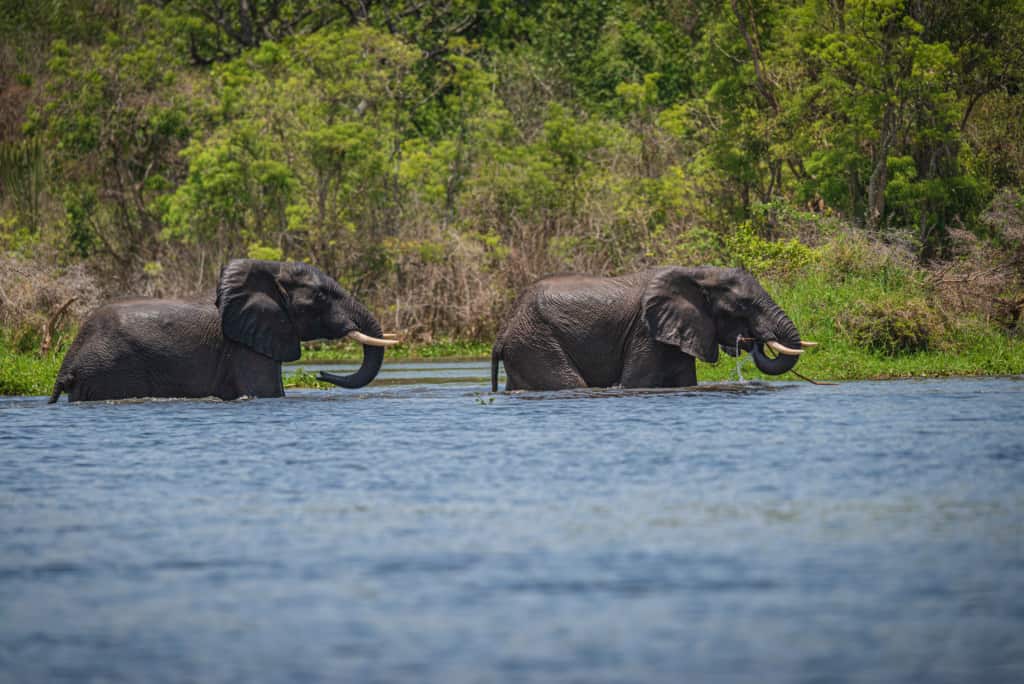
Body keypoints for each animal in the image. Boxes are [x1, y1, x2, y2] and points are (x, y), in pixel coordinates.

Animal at [49, 259, 397, 403]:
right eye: (322, 297)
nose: (321, 374)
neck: (271, 273)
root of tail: (68, 367)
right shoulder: (245, 348)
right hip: (111, 370)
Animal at [491, 268, 811, 395]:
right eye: (744, 305)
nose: (751, 339)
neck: (699, 273)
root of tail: (502, 334)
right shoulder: (645, 332)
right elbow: (636, 382)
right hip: (537, 343)